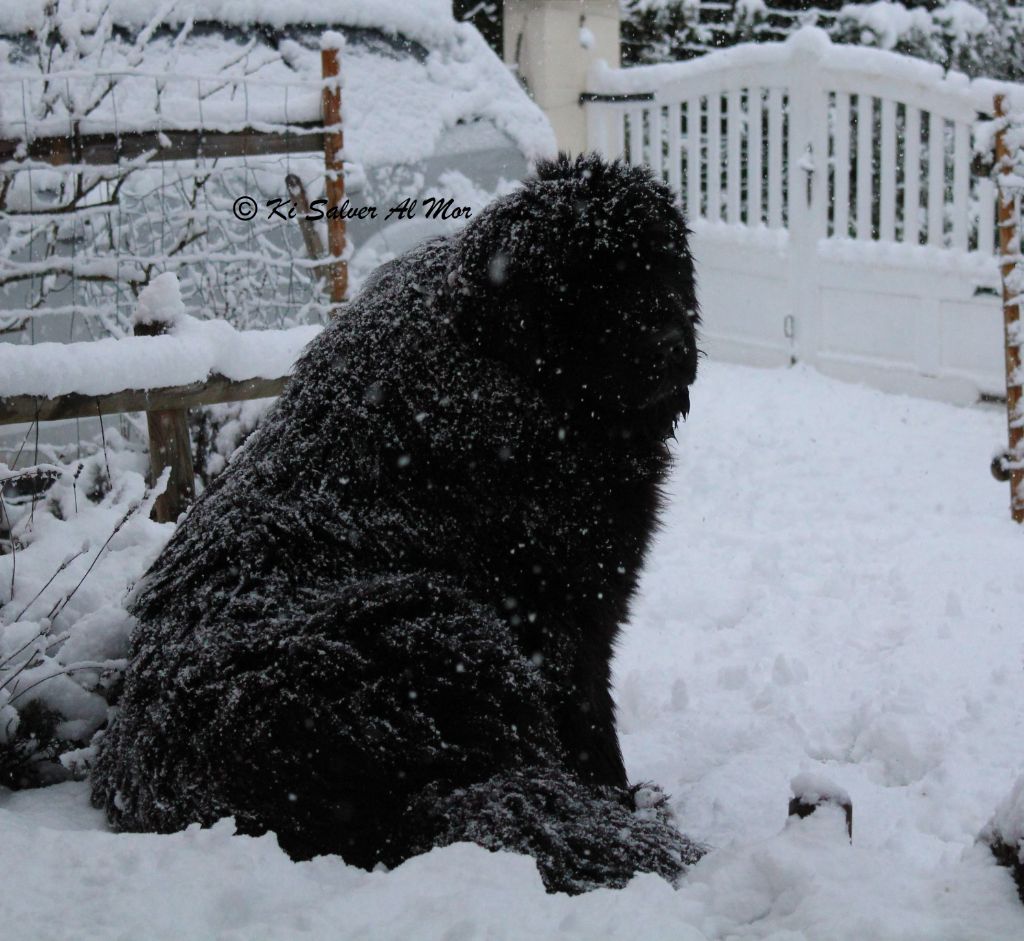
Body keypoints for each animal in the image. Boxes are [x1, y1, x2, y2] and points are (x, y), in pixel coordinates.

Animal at [90, 152, 704, 888]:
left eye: (660, 268)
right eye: (589, 287)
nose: (671, 345)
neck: (505, 365)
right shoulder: (559, 616)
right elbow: (589, 725)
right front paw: (619, 797)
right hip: (443, 626)